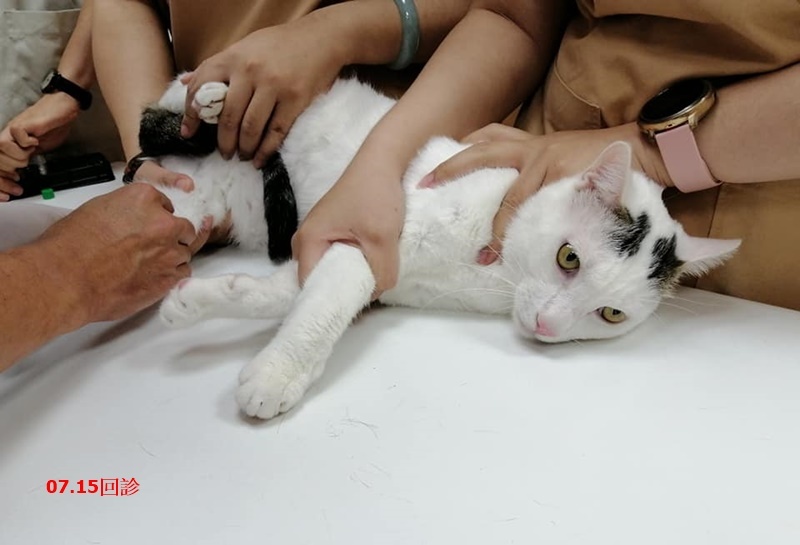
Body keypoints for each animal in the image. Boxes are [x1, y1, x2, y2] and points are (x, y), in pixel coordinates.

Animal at [140, 77, 740, 420]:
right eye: (569, 257)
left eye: (611, 314)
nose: (547, 326)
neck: (494, 273)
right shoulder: (365, 235)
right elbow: (323, 310)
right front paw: (277, 375)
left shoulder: (350, 258)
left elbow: (291, 294)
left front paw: (199, 301)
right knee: (161, 112)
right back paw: (212, 98)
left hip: (196, 207)